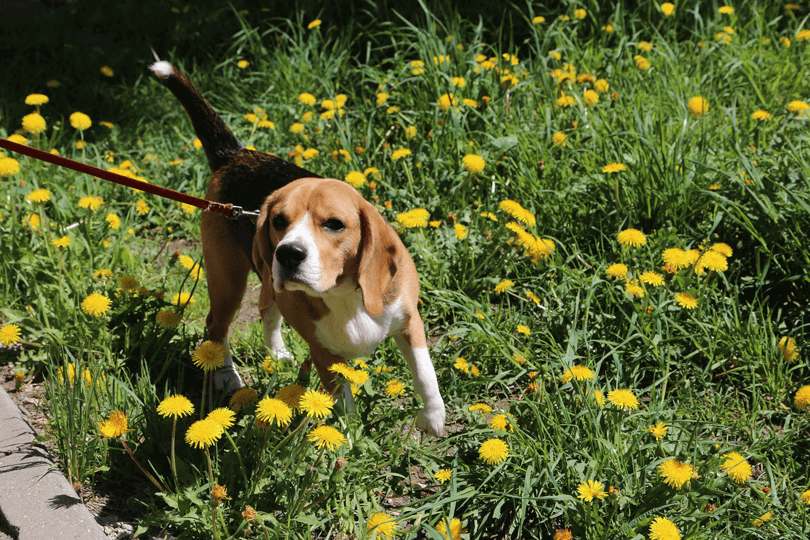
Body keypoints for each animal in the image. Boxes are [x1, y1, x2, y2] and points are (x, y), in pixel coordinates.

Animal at [148, 60, 446, 438]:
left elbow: (425, 373)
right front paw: (347, 442)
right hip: (229, 280)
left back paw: (276, 353)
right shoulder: (324, 355)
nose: (288, 253)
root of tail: (235, 155)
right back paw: (227, 376)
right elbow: (345, 407)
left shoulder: (410, 321)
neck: (344, 292)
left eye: (334, 224)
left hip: (265, 281)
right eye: (278, 220)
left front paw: (433, 419)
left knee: (267, 310)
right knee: (216, 326)